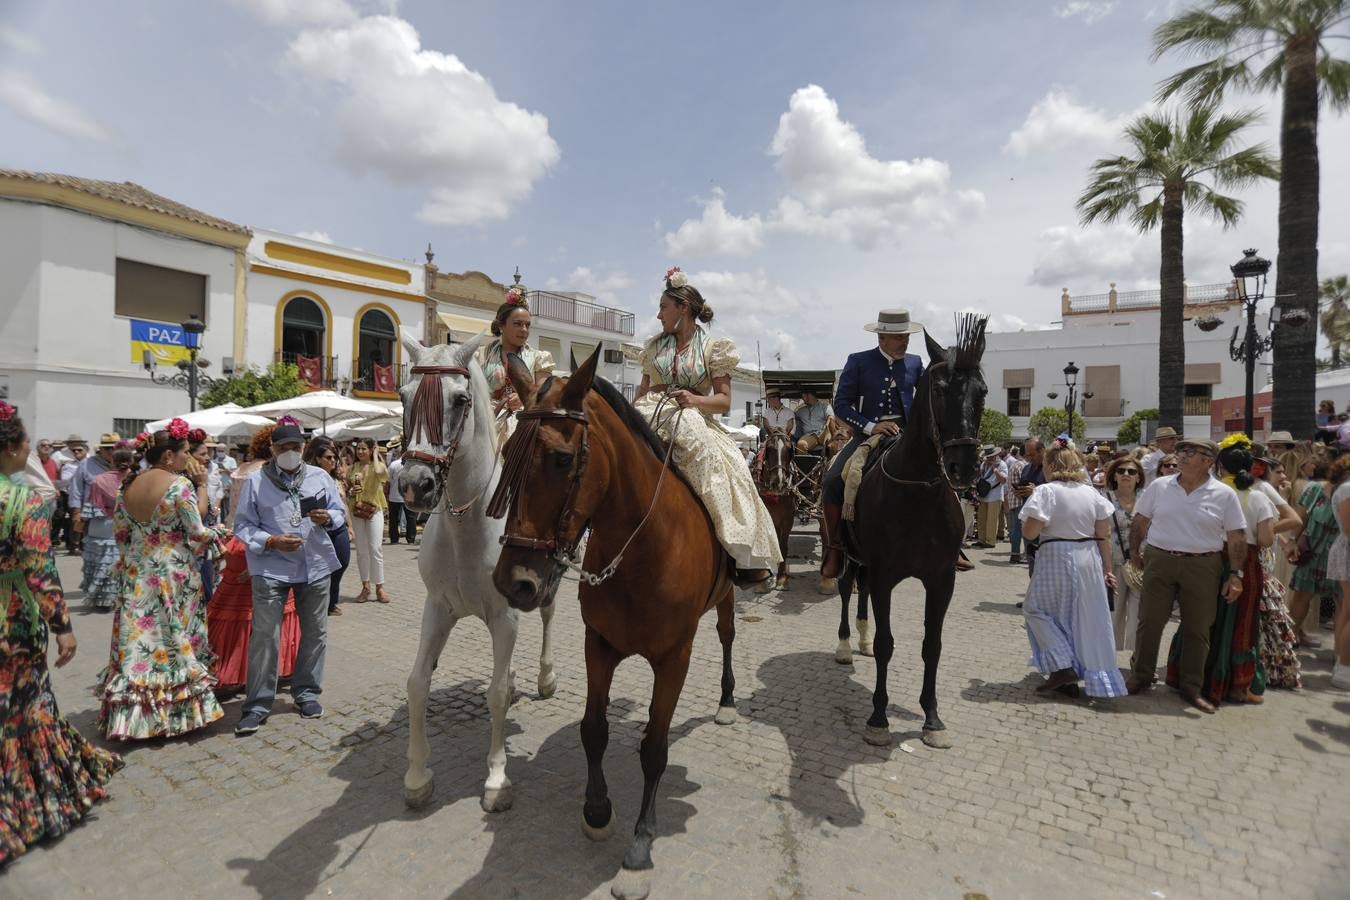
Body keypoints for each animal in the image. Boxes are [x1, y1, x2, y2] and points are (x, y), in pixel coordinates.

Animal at [394, 337, 558, 814]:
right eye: (403, 396)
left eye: (460, 400)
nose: (415, 485)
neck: (468, 524)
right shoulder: (438, 609)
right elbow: (417, 683)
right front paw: (417, 777)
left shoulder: (505, 615)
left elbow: (496, 695)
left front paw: (497, 780)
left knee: (547, 616)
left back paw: (544, 677)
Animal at [488, 348, 734, 900]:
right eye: (508, 449)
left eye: (561, 458)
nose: (515, 582)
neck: (645, 549)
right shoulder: (597, 644)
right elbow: (594, 729)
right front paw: (597, 810)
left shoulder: (675, 659)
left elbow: (655, 750)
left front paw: (640, 845)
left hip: (728, 597)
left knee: (728, 637)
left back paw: (728, 701)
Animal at [837, 317, 988, 755]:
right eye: (937, 389)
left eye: (982, 391)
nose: (963, 466)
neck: (918, 489)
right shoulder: (886, 575)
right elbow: (888, 645)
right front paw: (878, 718)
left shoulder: (941, 579)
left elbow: (931, 646)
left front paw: (932, 718)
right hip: (844, 551)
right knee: (846, 587)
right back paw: (845, 646)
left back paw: (862, 639)